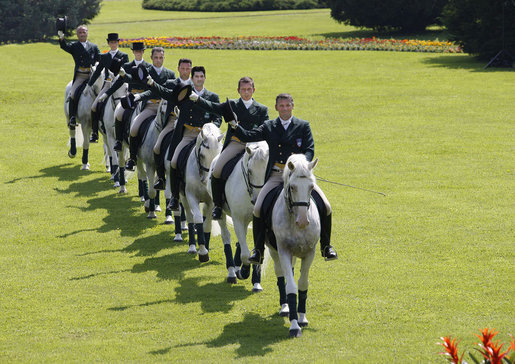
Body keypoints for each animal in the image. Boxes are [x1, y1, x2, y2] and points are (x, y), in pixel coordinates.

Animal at [179, 122, 224, 262]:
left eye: (218, 155)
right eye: (202, 155)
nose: (206, 181)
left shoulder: (211, 201)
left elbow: (207, 224)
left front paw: (205, 248)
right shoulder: (191, 196)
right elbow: (197, 219)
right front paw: (202, 252)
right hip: (184, 198)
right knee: (189, 216)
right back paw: (193, 247)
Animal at [212, 141, 270, 290]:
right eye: (250, 171)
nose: (257, 200)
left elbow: (257, 250)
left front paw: (256, 281)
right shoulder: (237, 219)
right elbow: (245, 254)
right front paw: (244, 271)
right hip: (222, 215)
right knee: (226, 236)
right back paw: (232, 272)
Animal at [268, 154, 320, 338]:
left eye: (311, 187)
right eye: (292, 187)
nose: (303, 221)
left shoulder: (310, 253)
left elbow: (303, 284)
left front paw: (302, 318)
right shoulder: (283, 251)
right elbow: (291, 286)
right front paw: (294, 326)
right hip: (274, 251)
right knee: (280, 274)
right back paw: (285, 308)